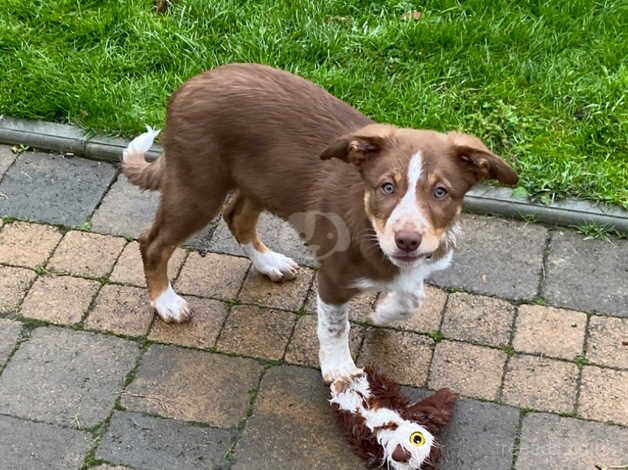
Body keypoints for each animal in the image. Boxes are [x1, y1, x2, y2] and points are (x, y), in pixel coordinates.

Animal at [121, 64, 516, 384]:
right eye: (386, 187)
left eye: (441, 192)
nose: (407, 240)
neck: (369, 220)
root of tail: (188, 85)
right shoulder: (333, 278)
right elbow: (335, 326)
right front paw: (340, 369)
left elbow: (412, 295)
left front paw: (383, 311)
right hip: (198, 186)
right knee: (153, 242)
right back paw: (166, 302)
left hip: (262, 182)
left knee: (237, 217)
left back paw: (269, 264)